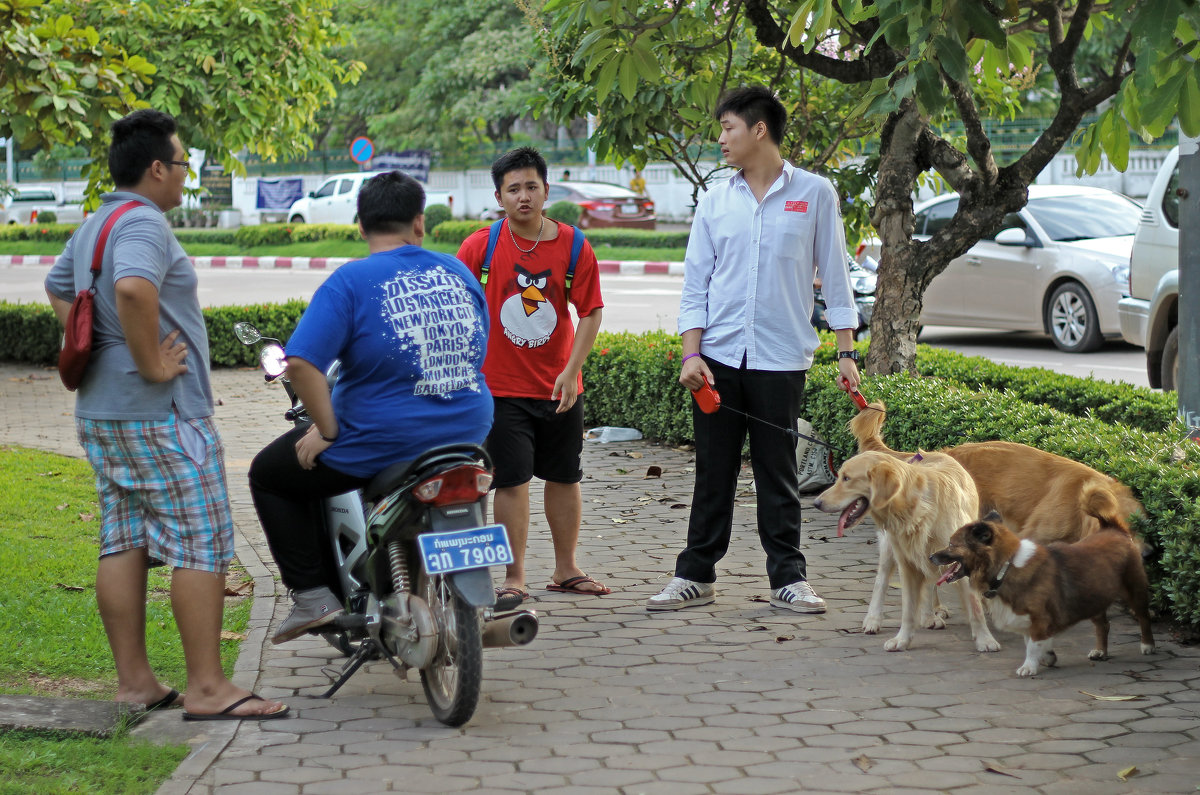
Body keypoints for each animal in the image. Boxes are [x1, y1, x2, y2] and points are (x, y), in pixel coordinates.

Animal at [811, 451, 998, 658]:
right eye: (840, 477)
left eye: (846, 478)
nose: (816, 503)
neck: (917, 507)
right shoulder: (906, 563)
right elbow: (908, 609)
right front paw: (902, 640)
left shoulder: (958, 562)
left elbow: (975, 607)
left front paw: (985, 640)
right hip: (890, 550)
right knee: (881, 581)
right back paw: (873, 619)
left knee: (929, 583)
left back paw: (928, 616)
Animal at [844, 401, 1142, 638]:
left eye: (1135, 529)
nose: (1145, 554)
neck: (1079, 500)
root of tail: (933, 456)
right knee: (890, 575)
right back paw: (883, 618)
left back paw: (935, 610)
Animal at [926, 485, 1152, 677]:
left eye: (951, 544)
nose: (930, 556)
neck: (1006, 566)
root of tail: (1114, 529)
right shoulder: (1029, 619)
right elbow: (1031, 642)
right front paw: (1047, 656)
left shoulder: (1039, 617)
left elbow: (1032, 645)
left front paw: (1029, 666)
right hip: (1093, 598)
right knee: (1103, 625)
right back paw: (1100, 651)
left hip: (1134, 592)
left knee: (1143, 617)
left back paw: (1148, 645)